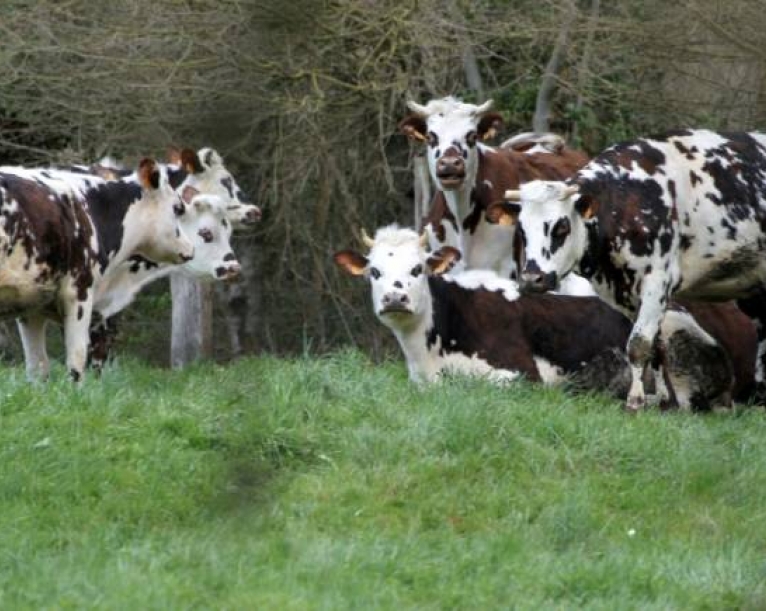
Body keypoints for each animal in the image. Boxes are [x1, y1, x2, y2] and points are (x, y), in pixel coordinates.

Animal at [0, 160, 194, 380]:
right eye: (178, 208)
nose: (190, 249)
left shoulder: (33, 307)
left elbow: (37, 368)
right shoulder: (79, 292)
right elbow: (77, 360)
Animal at [488, 131, 766, 414]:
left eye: (561, 228)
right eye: (521, 230)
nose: (532, 279)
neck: (630, 199)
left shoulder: (657, 283)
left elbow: (639, 344)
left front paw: (635, 401)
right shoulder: (626, 293)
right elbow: (655, 346)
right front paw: (662, 400)